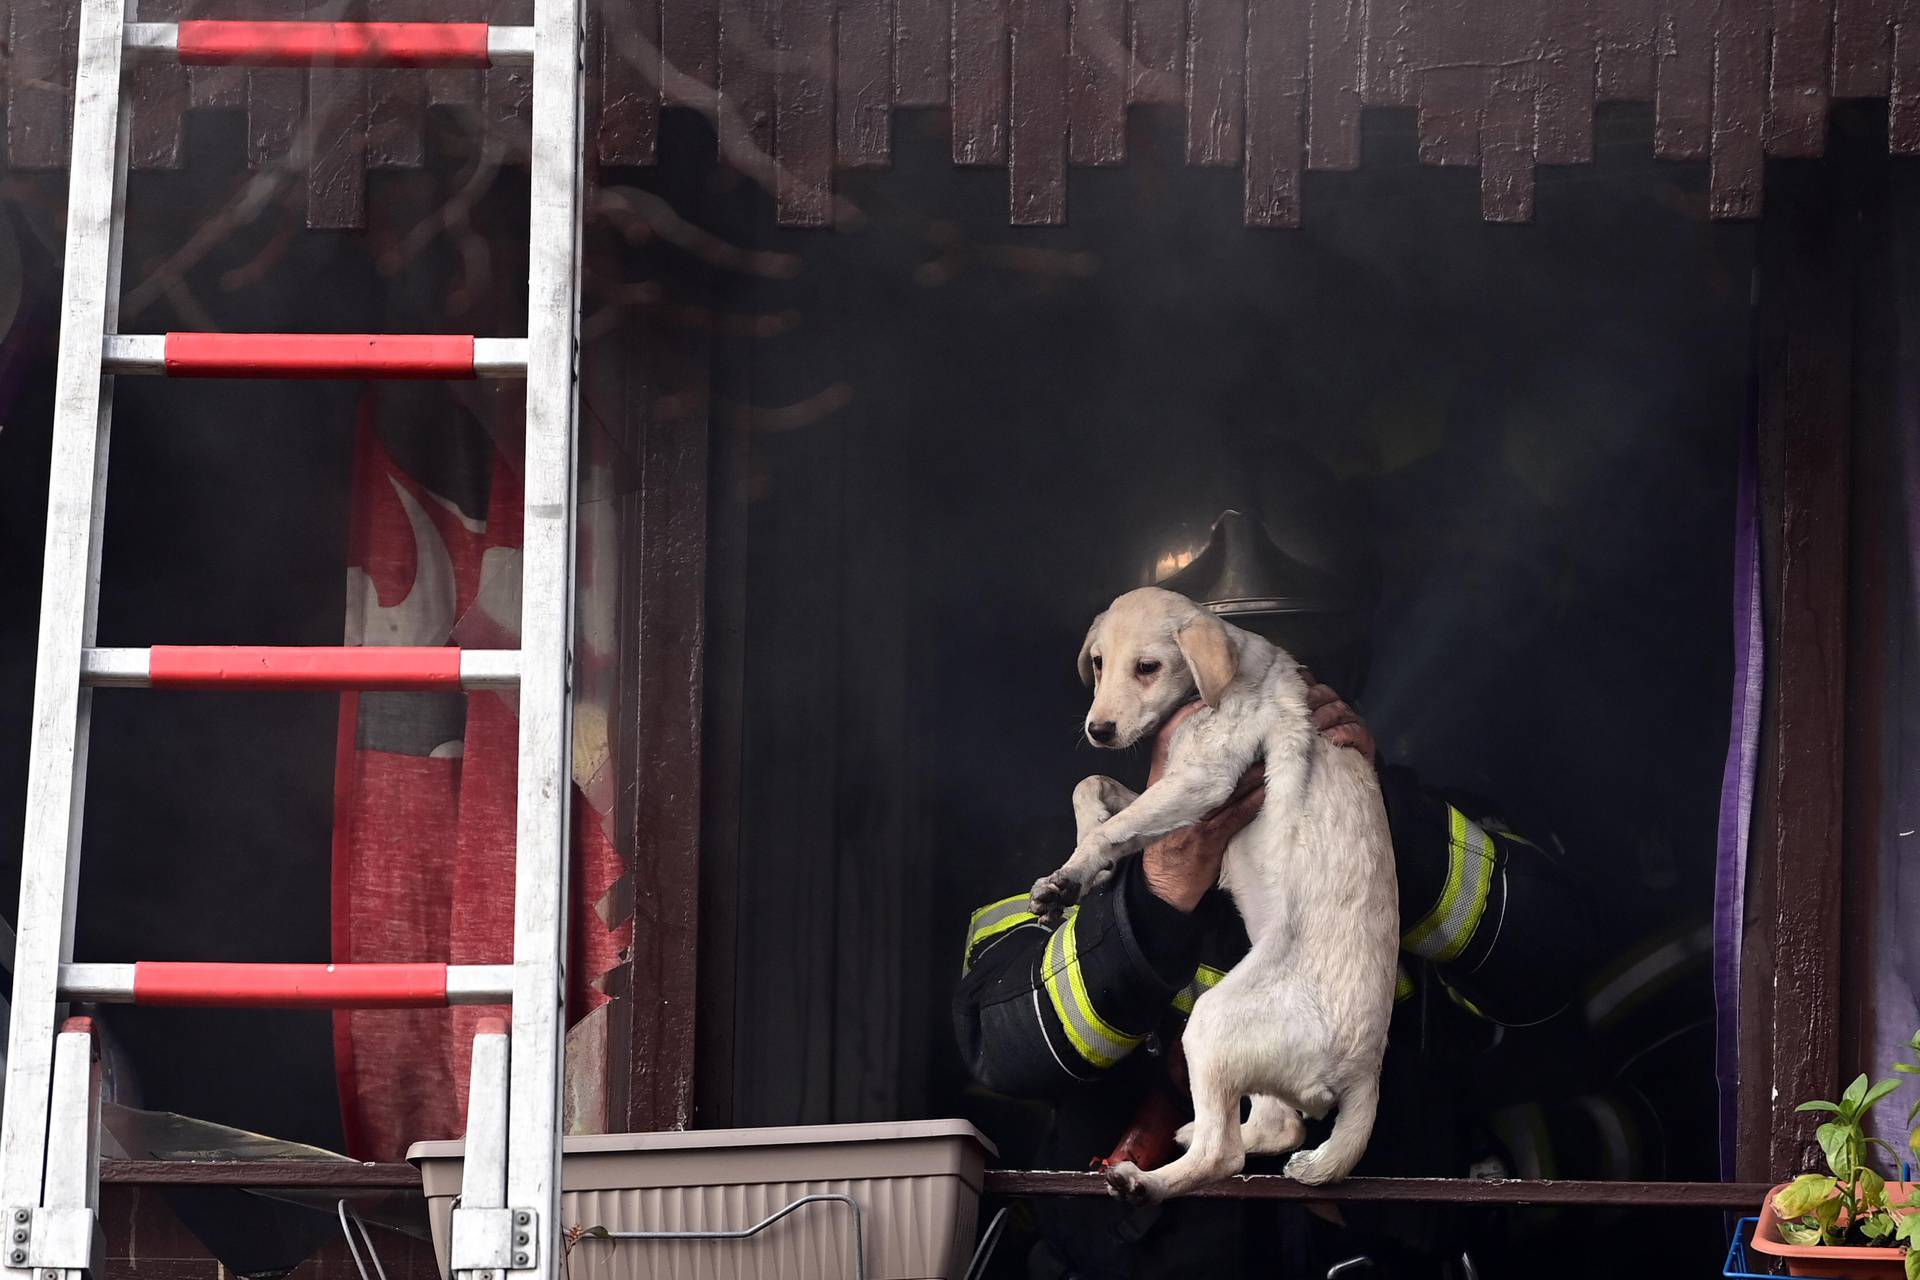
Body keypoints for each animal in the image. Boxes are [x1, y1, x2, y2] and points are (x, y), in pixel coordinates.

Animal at [1036, 587, 1397, 1205]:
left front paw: (1077, 868)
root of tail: (1366, 1073)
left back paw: (1143, 1182)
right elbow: (1092, 787)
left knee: (1223, 1153)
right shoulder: (1165, 785)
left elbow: (1115, 823)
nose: (1099, 729)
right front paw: (1083, 867)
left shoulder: (1202, 782)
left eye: (1148, 667)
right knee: (1277, 1126)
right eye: (1099, 663)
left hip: (1211, 1023)